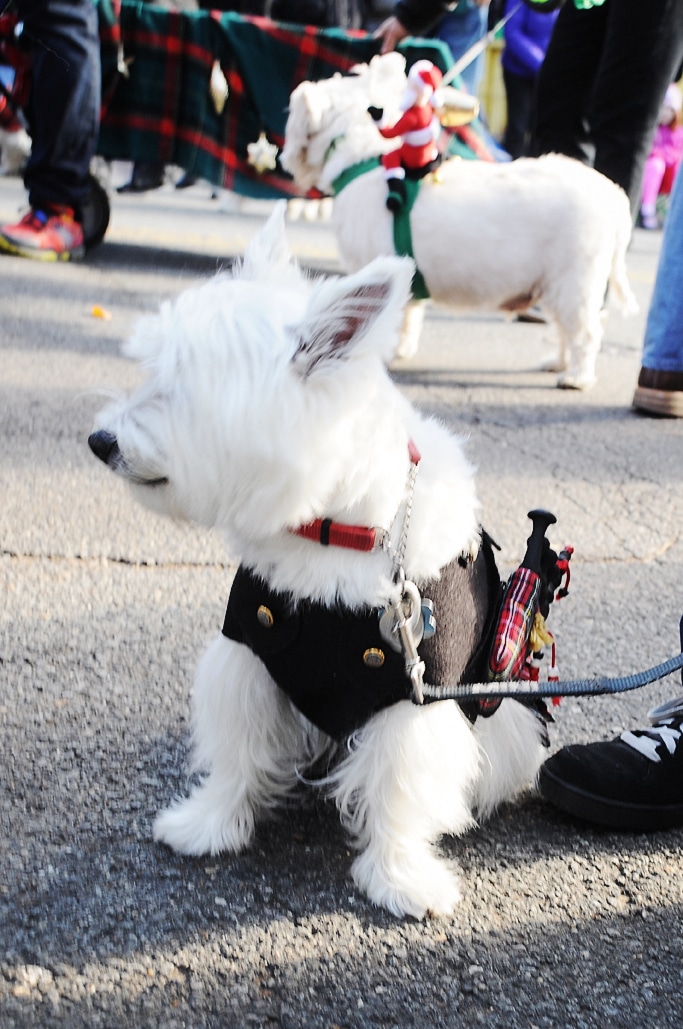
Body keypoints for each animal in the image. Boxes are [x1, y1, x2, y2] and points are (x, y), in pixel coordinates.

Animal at [90, 202, 551, 917]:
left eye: (186, 389)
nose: (99, 441)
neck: (334, 532)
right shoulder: (251, 650)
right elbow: (238, 749)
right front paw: (208, 824)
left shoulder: (413, 695)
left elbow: (400, 785)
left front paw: (399, 877)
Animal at [279, 52, 641, 391]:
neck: (363, 158)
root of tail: (613, 195)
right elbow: (409, 318)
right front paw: (402, 350)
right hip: (555, 286)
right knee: (568, 330)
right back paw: (557, 362)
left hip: (574, 283)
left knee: (586, 331)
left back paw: (576, 377)